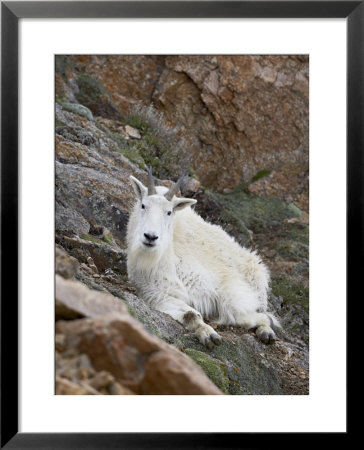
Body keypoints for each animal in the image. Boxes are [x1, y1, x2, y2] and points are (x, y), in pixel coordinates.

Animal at [126, 169, 280, 348]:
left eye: (169, 212)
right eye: (143, 205)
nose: (150, 237)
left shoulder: (225, 287)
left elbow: (237, 312)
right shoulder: (155, 293)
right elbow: (190, 314)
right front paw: (208, 335)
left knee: (262, 314)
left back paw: (266, 332)